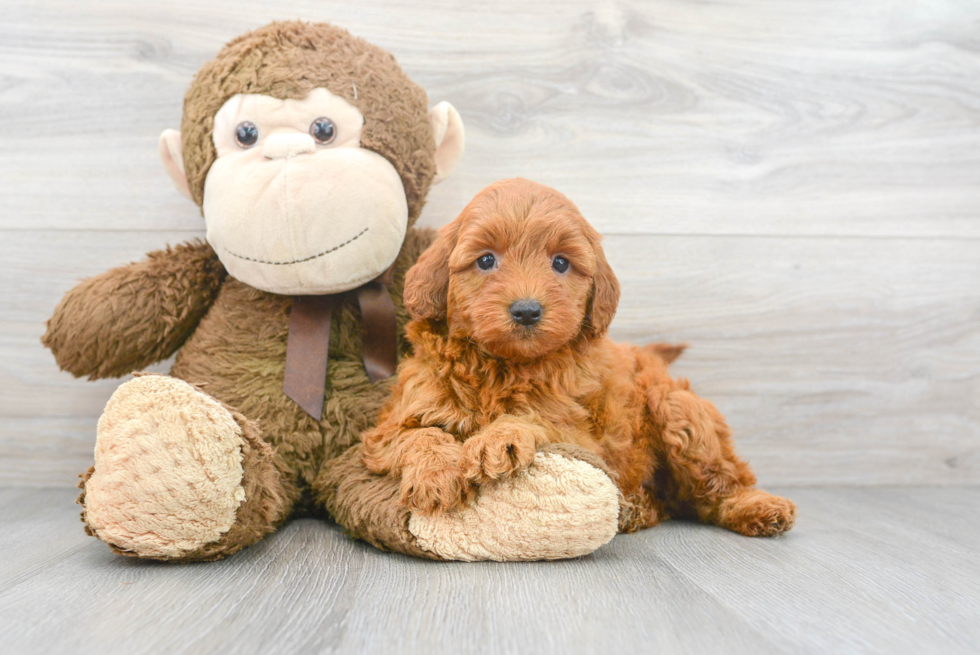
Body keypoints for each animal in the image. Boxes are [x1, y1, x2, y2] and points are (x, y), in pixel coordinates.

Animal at [360, 179, 796, 540]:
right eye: (485, 260)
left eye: (560, 263)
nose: (526, 310)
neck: (503, 367)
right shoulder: (393, 424)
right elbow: (419, 434)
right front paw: (437, 476)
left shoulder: (581, 435)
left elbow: (537, 418)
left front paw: (499, 438)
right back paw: (636, 509)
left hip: (678, 411)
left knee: (718, 483)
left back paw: (757, 507)